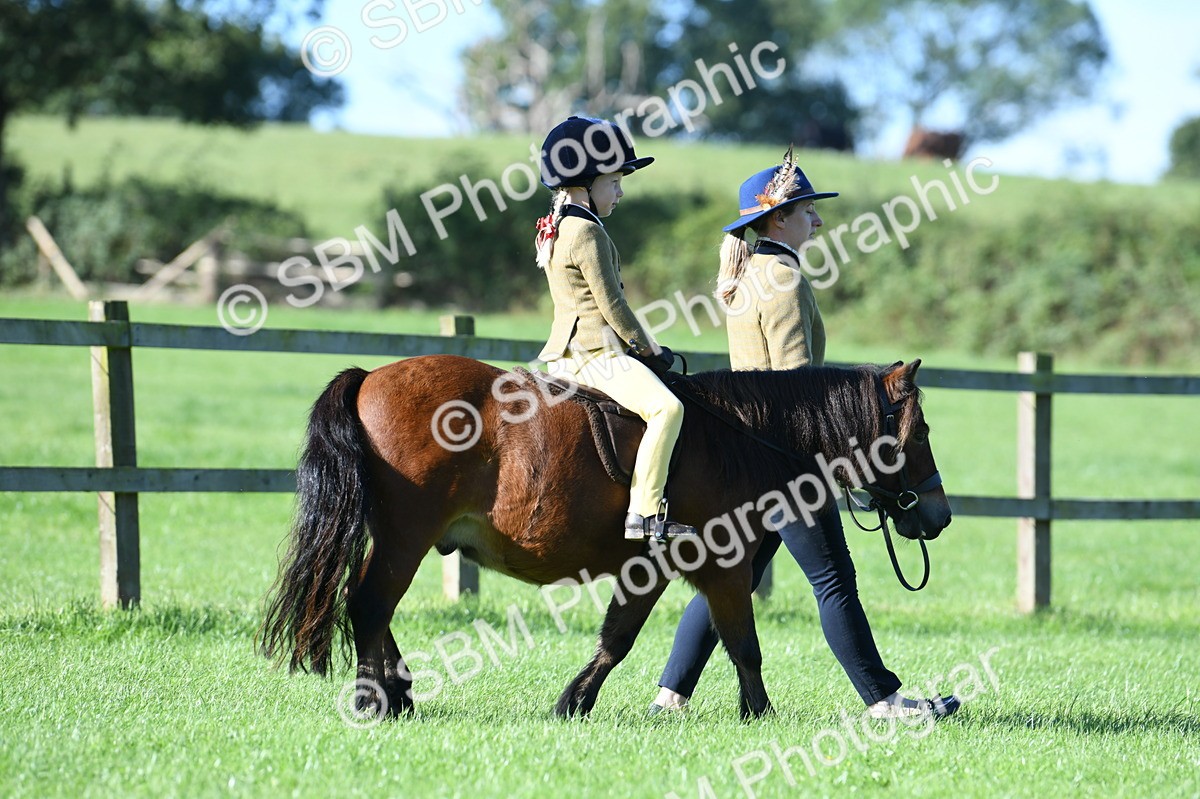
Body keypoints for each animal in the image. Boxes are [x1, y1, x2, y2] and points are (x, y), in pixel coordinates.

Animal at [259, 354, 952, 720]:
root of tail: (371, 375)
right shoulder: (724, 566)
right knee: (369, 605)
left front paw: (573, 702)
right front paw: (759, 715)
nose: (940, 516)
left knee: (373, 611)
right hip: (405, 539)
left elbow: (618, 638)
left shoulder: (653, 569)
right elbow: (744, 645)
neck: (742, 434)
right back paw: (376, 699)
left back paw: (397, 692)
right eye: (919, 434)